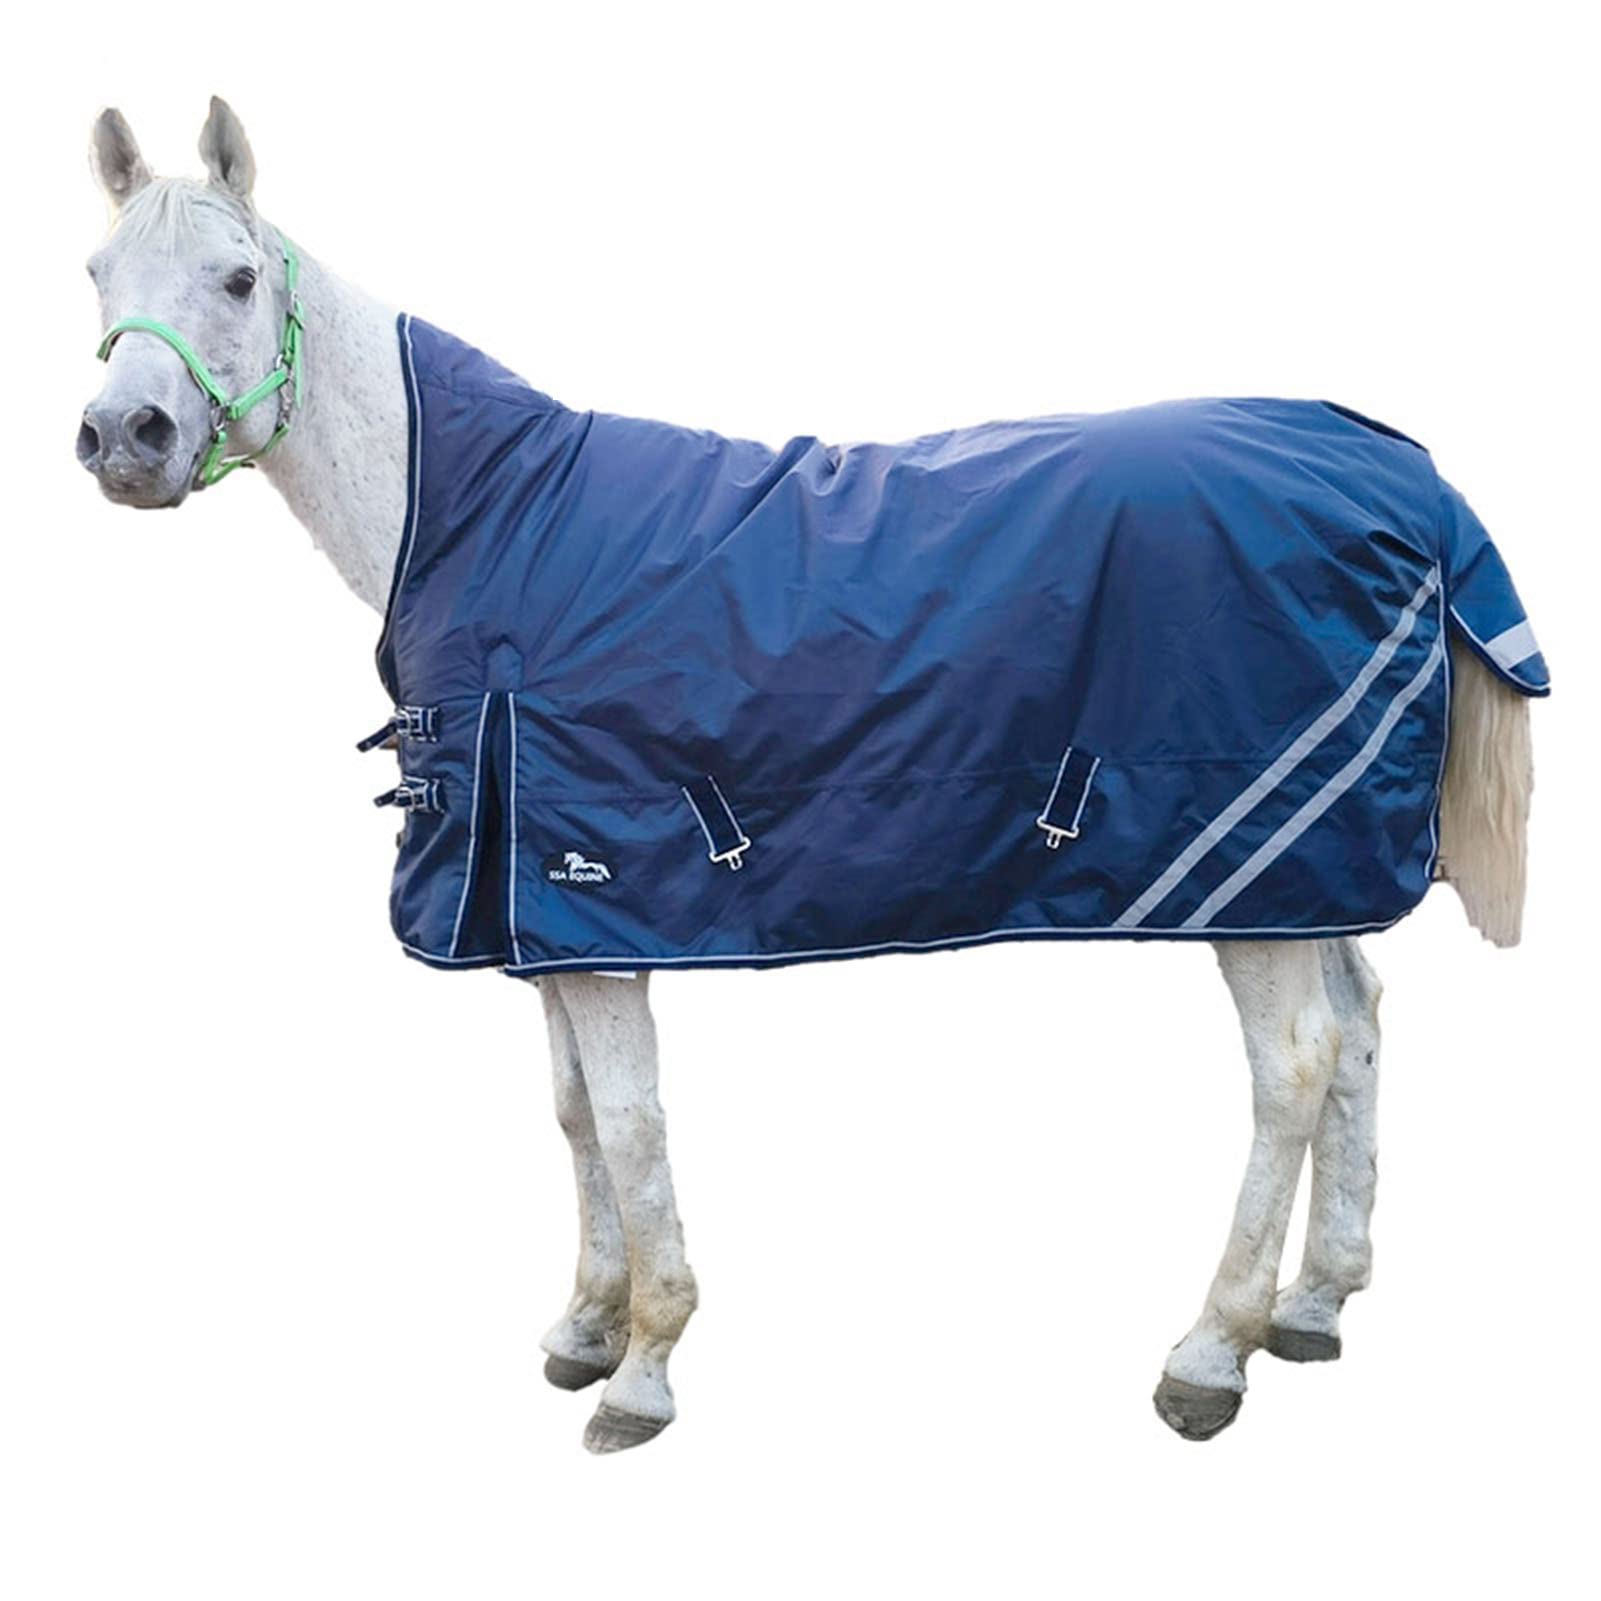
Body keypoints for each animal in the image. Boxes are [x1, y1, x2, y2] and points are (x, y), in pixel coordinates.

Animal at [77, 99, 1543, 1453]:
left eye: (238, 279)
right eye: (96, 273)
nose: (124, 436)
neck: (493, 517)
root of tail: (1396, 466)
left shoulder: (597, 903)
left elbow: (630, 1123)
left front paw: (645, 1365)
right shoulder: (538, 914)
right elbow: (573, 1114)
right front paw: (586, 1323)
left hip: (1253, 876)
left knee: (1292, 1065)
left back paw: (1210, 1350)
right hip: (1308, 866)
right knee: (1358, 1028)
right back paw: (1315, 1304)